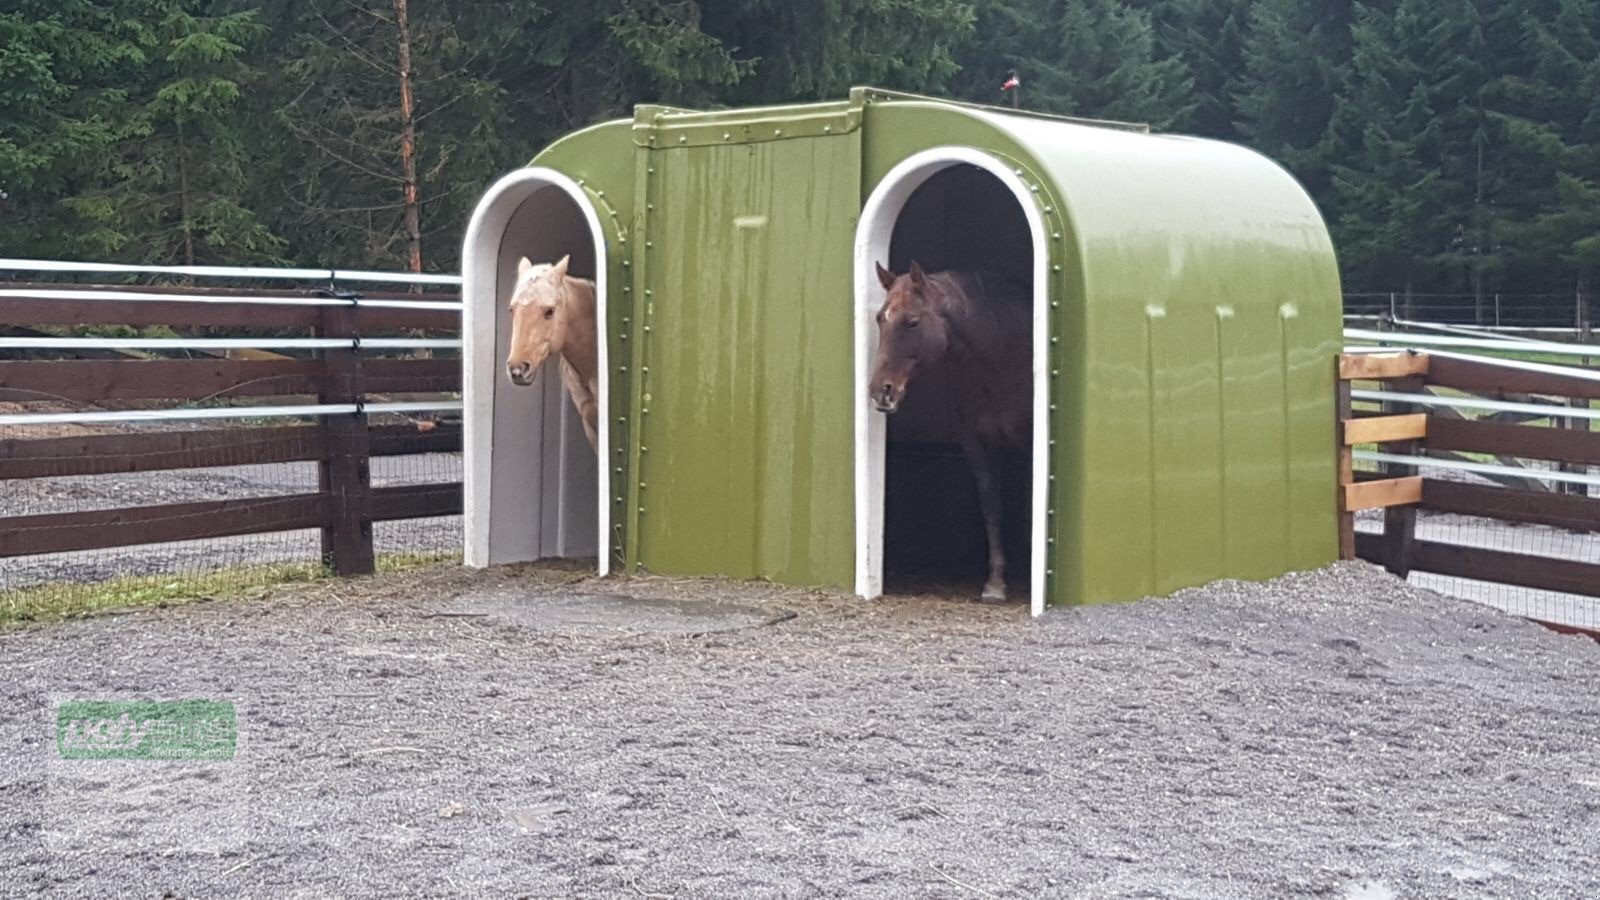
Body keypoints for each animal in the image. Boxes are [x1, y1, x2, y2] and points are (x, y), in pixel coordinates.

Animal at [870, 257, 1030, 595]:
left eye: (913, 322)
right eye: (879, 318)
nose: (880, 391)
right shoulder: (977, 442)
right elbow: (991, 504)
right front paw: (995, 582)